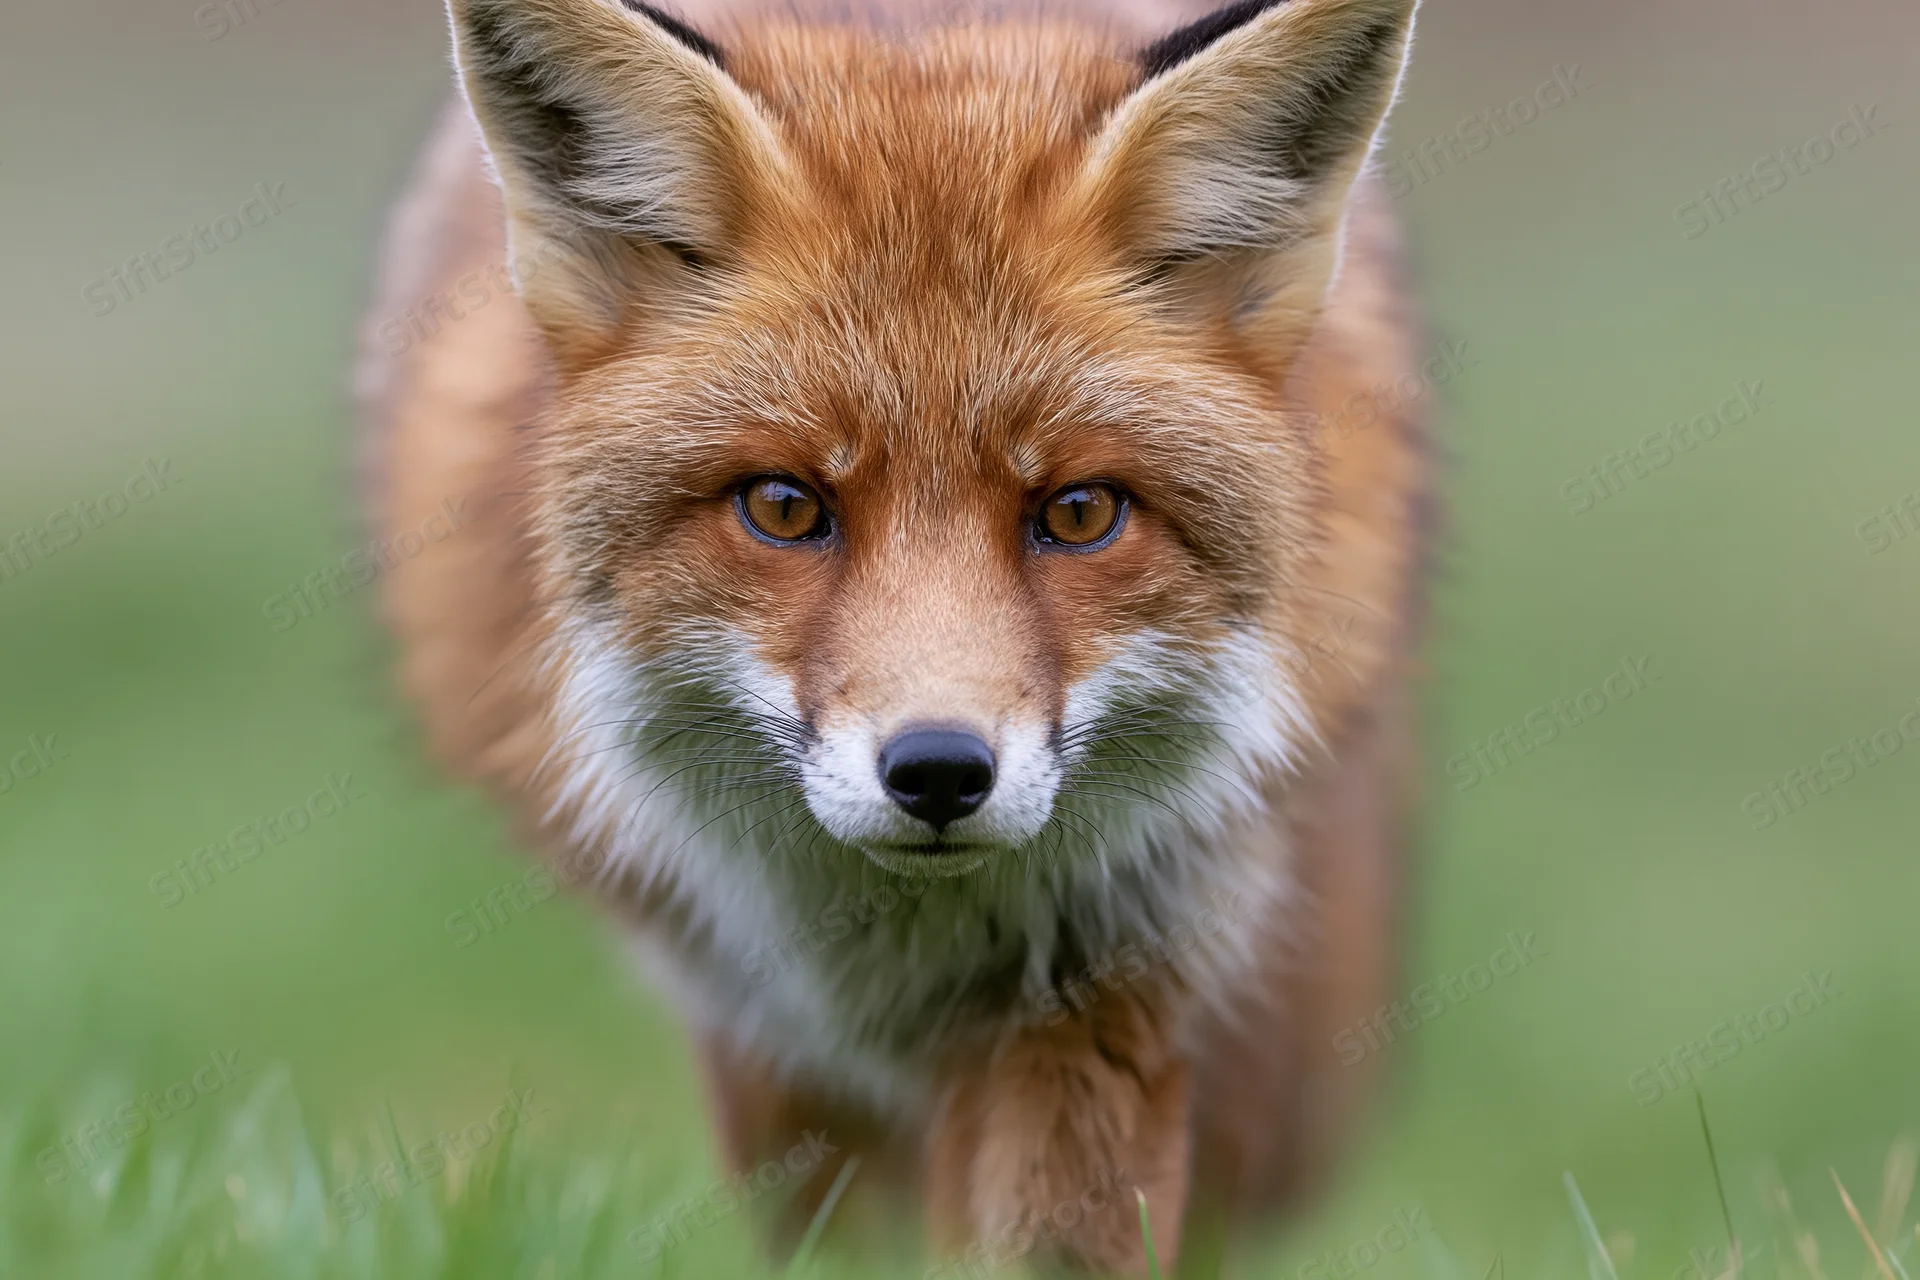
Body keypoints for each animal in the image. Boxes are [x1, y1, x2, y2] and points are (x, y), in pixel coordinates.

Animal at [358, 0, 1433, 1271]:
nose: (938, 771)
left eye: (1080, 512)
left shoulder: (1108, 976)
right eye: (783, 506)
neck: (903, 948)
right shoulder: (776, 1033)